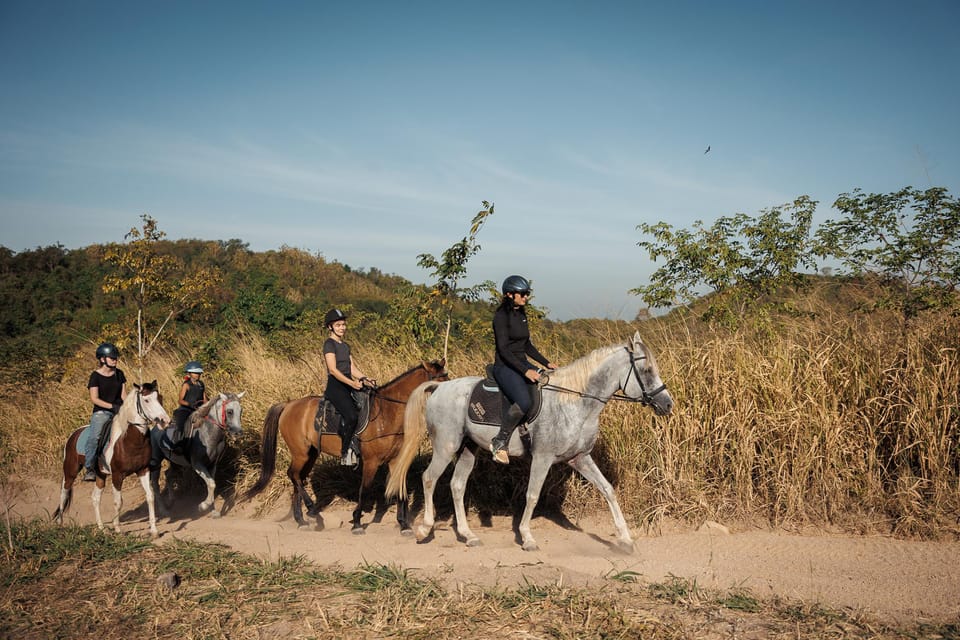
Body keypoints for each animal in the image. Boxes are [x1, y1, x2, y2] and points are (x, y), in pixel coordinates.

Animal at [53, 382, 172, 536]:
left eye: (160, 398)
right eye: (146, 400)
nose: (165, 421)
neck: (129, 440)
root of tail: (74, 434)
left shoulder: (143, 470)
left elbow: (150, 496)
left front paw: (154, 530)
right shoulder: (117, 475)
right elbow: (118, 501)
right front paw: (118, 529)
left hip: (100, 475)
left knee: (95, 498)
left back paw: (101, 528)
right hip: (70, 472)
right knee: (64, 494)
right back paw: (60, 525)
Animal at [149, 390, 246, 520]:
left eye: (241, 410)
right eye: (230, 411)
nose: (238, 433)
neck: (207, 433)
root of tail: (153, 429)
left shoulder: (212, 465)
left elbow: (211, 485)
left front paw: (213, 511)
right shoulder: (198, 465)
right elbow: (211, 484)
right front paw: (203, 506)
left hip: (175, 462)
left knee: (168, 475)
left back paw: (171, 501)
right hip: (156, 462)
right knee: (155, 484)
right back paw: (164, 510)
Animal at [244, 360, 446, 536]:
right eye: (436, 384)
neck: (387, 413)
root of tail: (288, 405)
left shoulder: (395, 461)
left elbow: (400, 491)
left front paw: (404, 526)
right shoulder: (371, 462)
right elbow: (364, 489)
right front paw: (356, 522)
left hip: (310, 455)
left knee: (298, 478)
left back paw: (301, 521)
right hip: (300, 453)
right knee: (293, 475)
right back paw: (312, 511)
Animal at [406, 332, 676, 552]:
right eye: (647, 371)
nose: (667, 404)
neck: (574, 403)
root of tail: (439, 388)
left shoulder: (580, 458)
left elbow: (608, 489)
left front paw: (626, 540)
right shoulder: (542, 458)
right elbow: (533, 495)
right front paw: (527, 538)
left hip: (467, 449)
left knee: (457, 485)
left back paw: (468, 535)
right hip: (446, 446)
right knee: (429, 478)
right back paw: (424, 529)